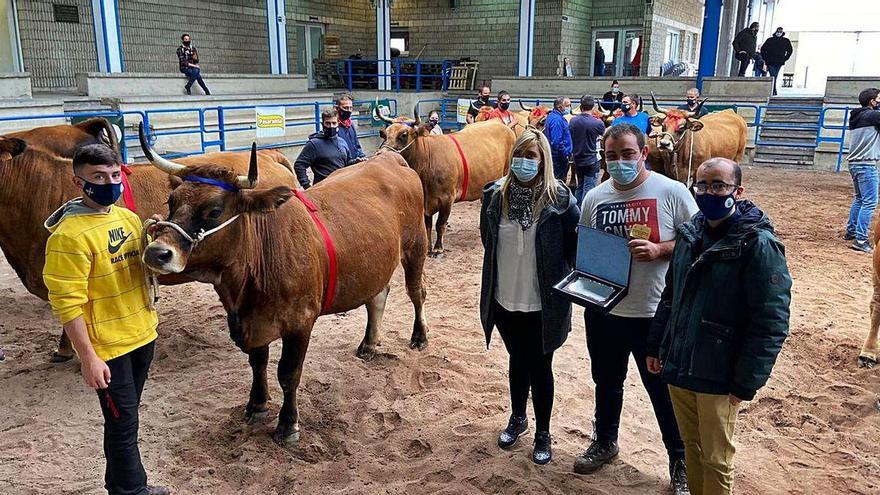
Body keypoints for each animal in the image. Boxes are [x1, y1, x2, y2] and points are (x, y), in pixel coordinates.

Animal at [139, 124, 428, 446]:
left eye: (214, 210)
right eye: (171, 202)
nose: (156, 252)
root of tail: (389, 160)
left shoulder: (300, 321)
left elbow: (288, 374)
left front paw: (288, 424)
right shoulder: (252, 321)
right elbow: (258, 363)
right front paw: (256, 405)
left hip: (416, 247)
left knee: (416, 293)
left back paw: (419, 336)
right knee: (378, 296)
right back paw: (369, 343)